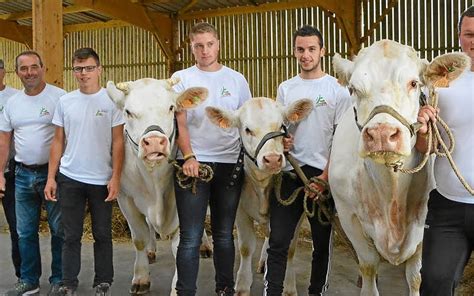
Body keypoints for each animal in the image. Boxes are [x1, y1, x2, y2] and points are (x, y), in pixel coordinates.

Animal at [107, 77, 207, 294]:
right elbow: (139, 238)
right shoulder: (126, 199)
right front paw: (140, 278)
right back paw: (151, 250)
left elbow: (181, 246)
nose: (153, 142)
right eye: (128, 111)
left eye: (171, 108)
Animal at [206, 97, 312, 296]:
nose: (272, 160)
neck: (262, 185)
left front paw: (289, 286)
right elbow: (246, 247)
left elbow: (290, 248)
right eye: (247, 129)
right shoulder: (240, 209)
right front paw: (242, 285)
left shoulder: (298, 211)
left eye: (281, 126)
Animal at [330, 40, 470, 296]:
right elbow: (368, 268)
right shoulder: (348, 216)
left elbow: (416, 277)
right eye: (353, 89)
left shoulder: (424, 226)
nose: (382, 134)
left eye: (414, 83)